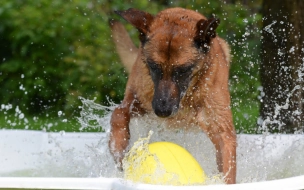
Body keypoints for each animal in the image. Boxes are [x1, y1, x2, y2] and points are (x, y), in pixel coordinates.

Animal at [108, 7, 236, 184]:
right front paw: (118, 147)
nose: (162, 111)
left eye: (182, 71)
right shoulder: (139, 101)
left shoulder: (222, 130)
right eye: (154, 67)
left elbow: (228, 166)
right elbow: (119, 113)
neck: (187, 96)